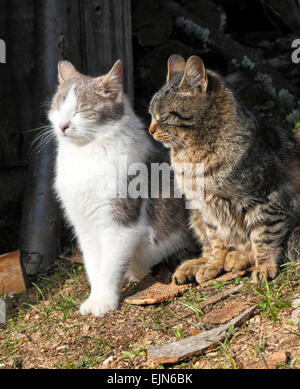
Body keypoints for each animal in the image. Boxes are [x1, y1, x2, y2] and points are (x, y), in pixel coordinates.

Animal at [48, 59, 197, 316]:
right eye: (59, 107)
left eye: (81, 110)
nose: (63, 125)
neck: (86, 154)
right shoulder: (84, 226)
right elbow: (94, 266)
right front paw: (94, 298)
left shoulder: (120, 224)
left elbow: (109, 266)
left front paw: (104, 301)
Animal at [148, 54, 300, 284]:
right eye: (150, 115)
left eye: (163, 116)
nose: (150, 130)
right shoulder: (206, 209)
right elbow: (216, 242)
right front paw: (212, 266)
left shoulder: (264, 200)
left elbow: (263, 236)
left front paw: (264, 265)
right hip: (194, 214)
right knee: (209, 247)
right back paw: (195, 264)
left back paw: (237, 258)